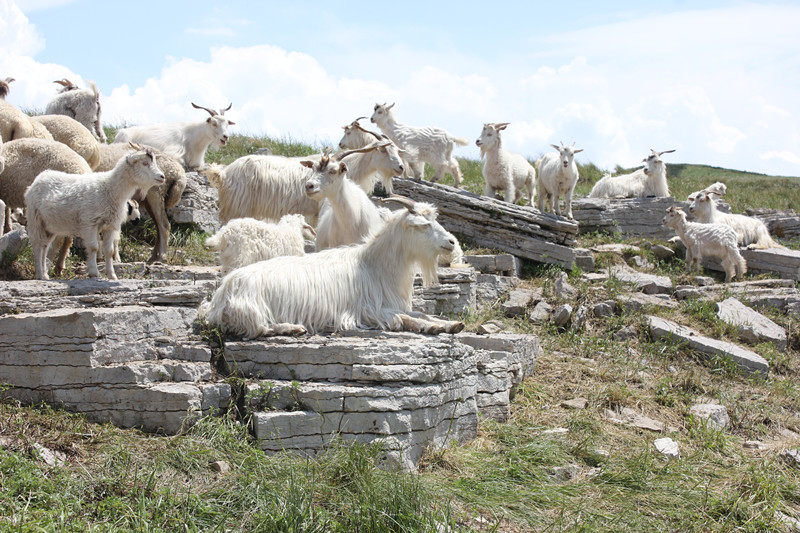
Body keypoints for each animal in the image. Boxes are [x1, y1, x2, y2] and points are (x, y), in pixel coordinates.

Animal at [25, 143, 166, 280]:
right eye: (145, 163)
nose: (162, 176)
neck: (110, 189)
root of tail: (40, 177)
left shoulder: (110, 225)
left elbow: (109, 250)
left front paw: (112, 275)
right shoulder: (89, 223)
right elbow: (94, 247)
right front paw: (94, 272)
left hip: (50, 225)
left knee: (44, 246)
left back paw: (45, 275)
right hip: (35, 219)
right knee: (37, 245)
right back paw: (40, 274)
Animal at [197, 194, 466, 336]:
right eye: (423, 225)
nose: (451, 242)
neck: (373, 264)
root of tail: (219, 297)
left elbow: (421, 313)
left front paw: (453, 323)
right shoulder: (370, 310)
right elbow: (407, 319)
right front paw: (434, 327)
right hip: (252, 310)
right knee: (261, 328)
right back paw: (293, 328)